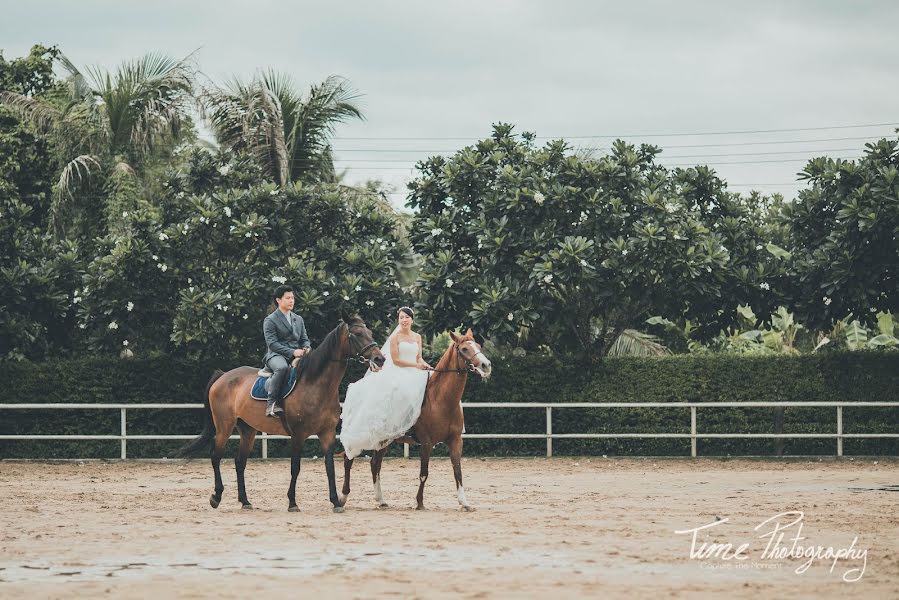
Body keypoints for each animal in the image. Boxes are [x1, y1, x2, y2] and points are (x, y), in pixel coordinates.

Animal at [178, 312, 384, 512]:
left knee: (240, 462)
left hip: (248, 430)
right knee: (216, 456)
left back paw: (245, 501)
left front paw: (335, 502)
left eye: (370, 333)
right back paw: (216, 497)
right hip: (224, 426)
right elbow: (295, 467)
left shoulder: (327, 433)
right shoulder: (298, 434)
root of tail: (223, 376)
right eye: (357, 334)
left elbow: (329, 467)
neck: (315, 384)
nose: (379, 359)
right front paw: (292, 502)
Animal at [340, 330, 492, 512]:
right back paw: (342, 497)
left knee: (375, 464)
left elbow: (458, 471)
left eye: (478, 346)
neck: (440, 399)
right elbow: (423, 474)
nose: (486, 365)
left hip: (383, 440)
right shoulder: (426, 443)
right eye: (464, 349)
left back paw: (381, 500)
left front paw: (465, 503)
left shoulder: (456, 441)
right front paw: (419, 503)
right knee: (348, 460)